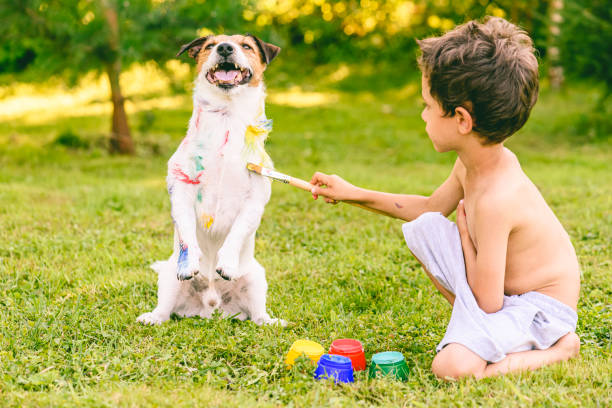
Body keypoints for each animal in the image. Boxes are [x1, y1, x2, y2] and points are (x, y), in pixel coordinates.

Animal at [136, 33, 284, 326]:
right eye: (209, 46)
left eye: (246, 46)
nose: (225, 48)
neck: (225, 119)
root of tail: (212, 305)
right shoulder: (182, 190)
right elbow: (186, 230)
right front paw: (191, 260)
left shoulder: (255, 200)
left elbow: (237, 230)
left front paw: (226, 262)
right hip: (168, 278)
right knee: (165, 311)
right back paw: (153, 317)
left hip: (256, 278)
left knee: (258, 315)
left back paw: (272, 322)